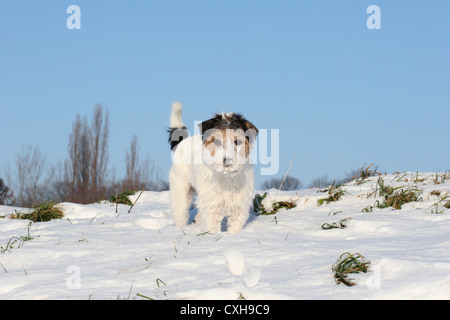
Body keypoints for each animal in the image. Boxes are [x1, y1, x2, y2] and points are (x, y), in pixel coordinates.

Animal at [167, 103, 258, 235]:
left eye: (237, 141)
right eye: (217, 141)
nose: (227, 160)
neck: (226, 176)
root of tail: (182, 142)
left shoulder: (239, 207)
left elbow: (235, 226)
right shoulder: (212, 207)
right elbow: (212, 225)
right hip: (181, 190)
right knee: (180, 211)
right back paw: (180, 228)